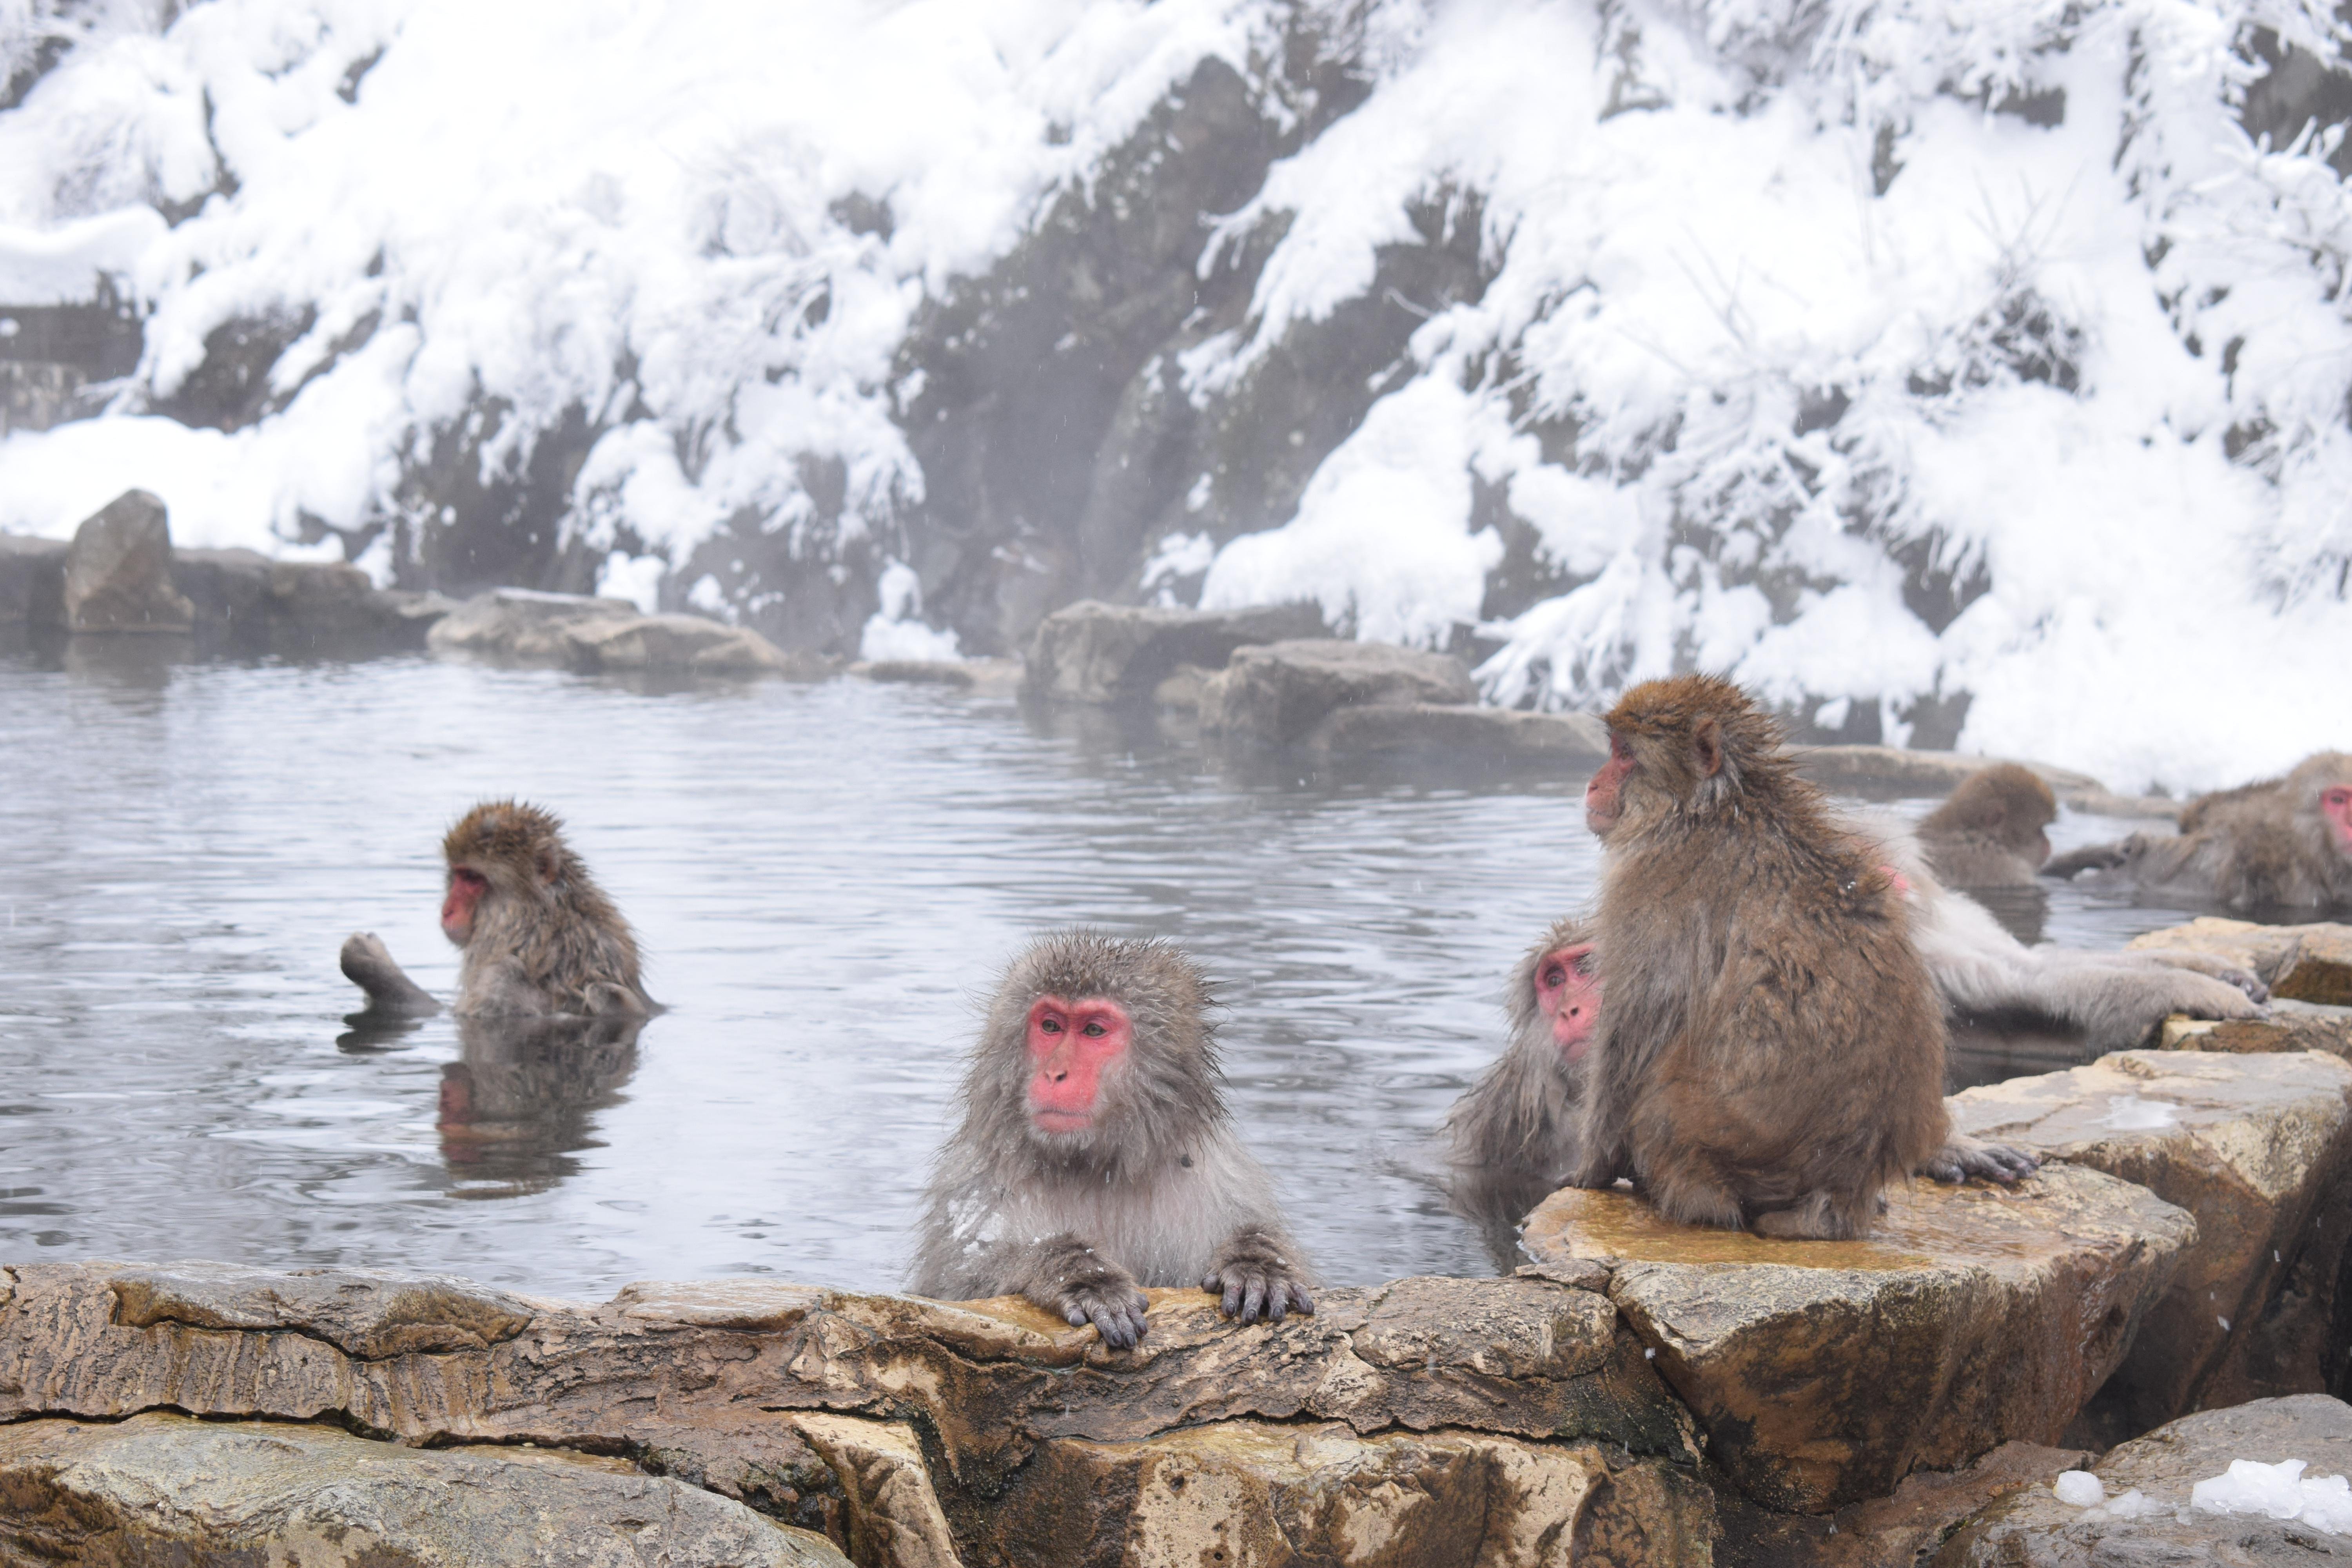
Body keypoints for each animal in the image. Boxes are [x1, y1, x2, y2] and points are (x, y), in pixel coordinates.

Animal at [909, 932, 1313, 1347]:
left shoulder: (1221, 1179)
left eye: (1093, 1031)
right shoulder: (976, 1187)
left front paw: (1256, 1259)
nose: (1055, 1073)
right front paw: (1080, 1274)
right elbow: (954, 1290)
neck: (1098, 1168)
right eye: (1051, 1025)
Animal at [1571, 675, 1951, 1239]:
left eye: (1624, 755)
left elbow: (1634, 1027)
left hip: (1720, 1137)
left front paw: (1591, 1169)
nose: (1593, 784)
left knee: (1663, 1111)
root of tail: (1843, 1190)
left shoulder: (1648, 890)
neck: (1707, 808)